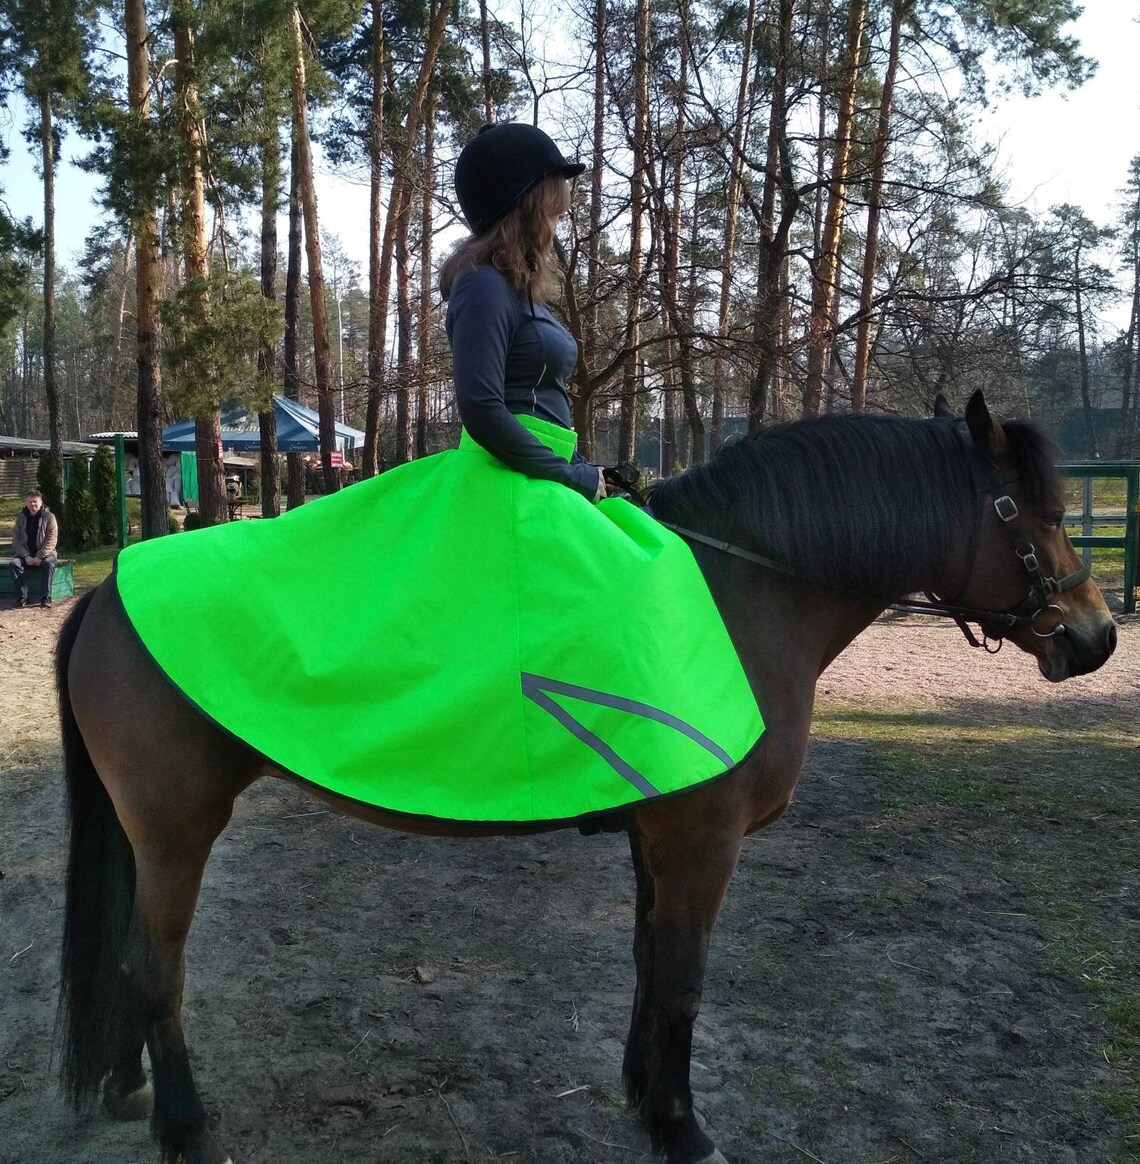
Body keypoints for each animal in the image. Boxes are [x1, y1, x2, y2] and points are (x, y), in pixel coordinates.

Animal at [54, 391, 1117, 1164]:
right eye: (1043, 515)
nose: (1098, 636)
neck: (741, 594)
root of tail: (110, 592)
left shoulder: (660, 837)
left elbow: (652, 963)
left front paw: (646, 1097)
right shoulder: (702, 842)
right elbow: (684, 978)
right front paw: (684, 1129)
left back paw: (132, 1088)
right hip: (177, 831)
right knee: (155, 965)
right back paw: (187, 1127)